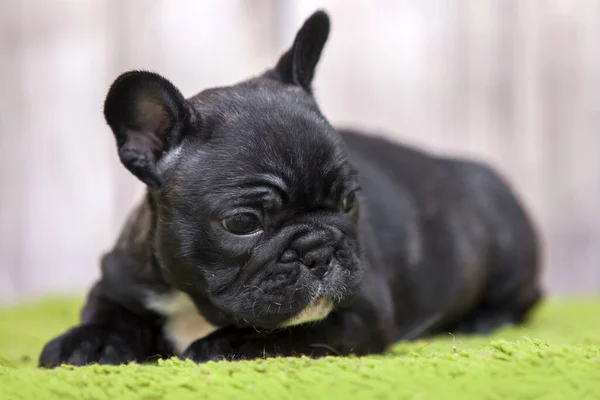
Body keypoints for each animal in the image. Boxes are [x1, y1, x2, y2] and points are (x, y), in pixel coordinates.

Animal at [38, 10, 544, 368]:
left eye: (348, 200)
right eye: (243, 223)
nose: (318, 251)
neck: (194, 302)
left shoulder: (361, 311)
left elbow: (284, 333)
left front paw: (224, 345)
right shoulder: (119, 277)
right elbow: (108, 310)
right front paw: (88, 342)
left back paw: (483, 319)